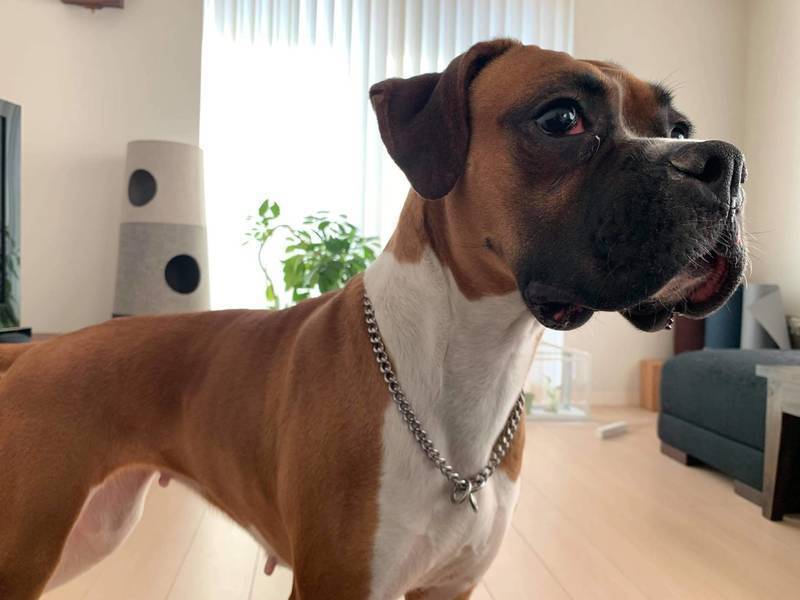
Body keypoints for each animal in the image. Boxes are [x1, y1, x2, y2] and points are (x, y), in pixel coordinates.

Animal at [0, 38, 746, 600]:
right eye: (561, 119)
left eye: (678, 129)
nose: (726, 161)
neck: (469, 363)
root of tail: (31, 350)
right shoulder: (341, 584)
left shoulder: (447, 589)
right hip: (29, 545)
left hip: (94, 528)